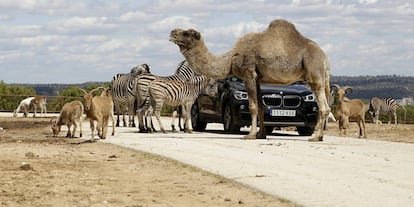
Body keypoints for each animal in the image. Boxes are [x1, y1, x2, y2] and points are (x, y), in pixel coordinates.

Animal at [169, 19, 330, 142]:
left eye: (186, 33)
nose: (172, 32)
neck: (231, 59)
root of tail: (324, 57)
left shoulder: (248, 74)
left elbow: (252, 107)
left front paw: (250, 135)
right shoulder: (258, 79)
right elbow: (260, 107)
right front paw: (261, 135)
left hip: (314, 71)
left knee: (324, 107)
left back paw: (315, 137)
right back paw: (320, 136)